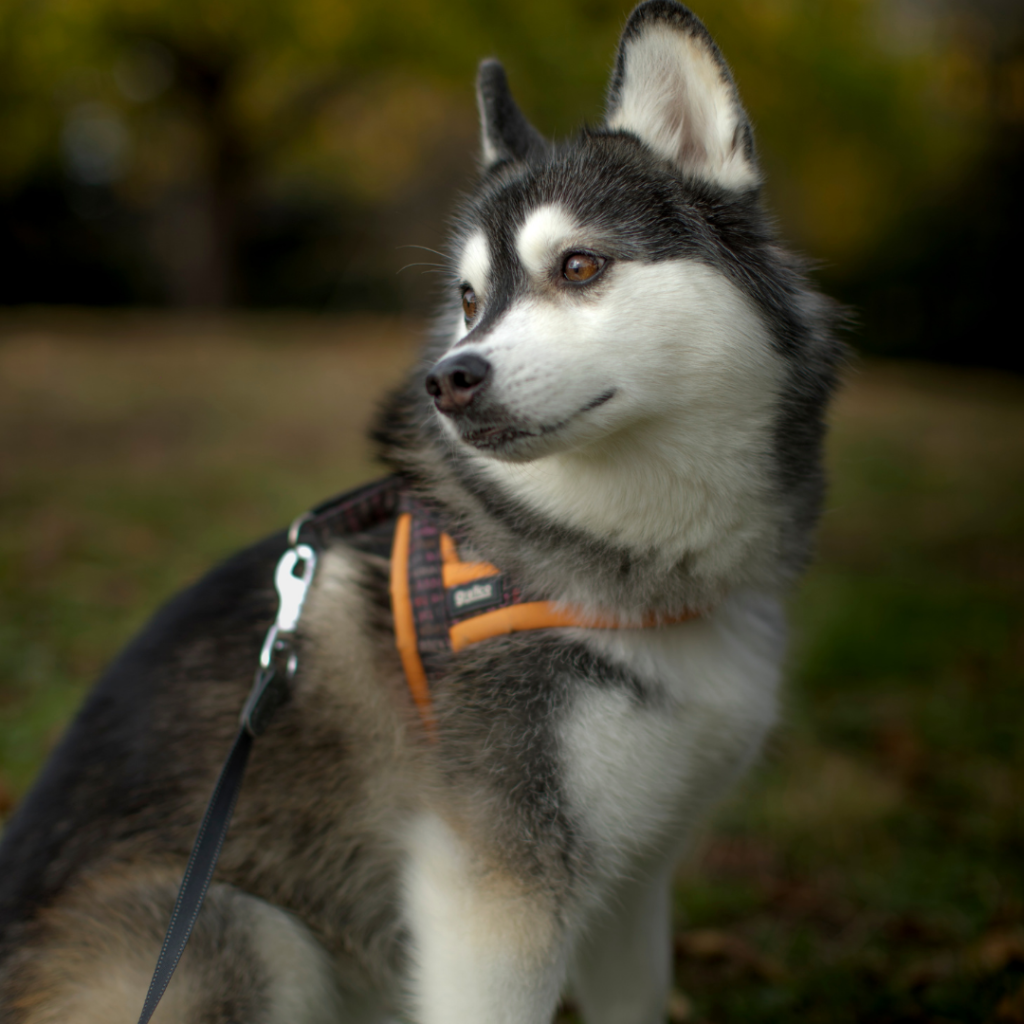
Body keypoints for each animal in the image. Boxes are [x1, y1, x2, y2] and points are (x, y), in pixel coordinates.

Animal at [0, 4, 839, 1019]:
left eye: (580, 265)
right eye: (471, 299)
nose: (450, 379)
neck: (624, 569)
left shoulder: (637, 880)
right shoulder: (496, 892)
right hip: (248, 934)